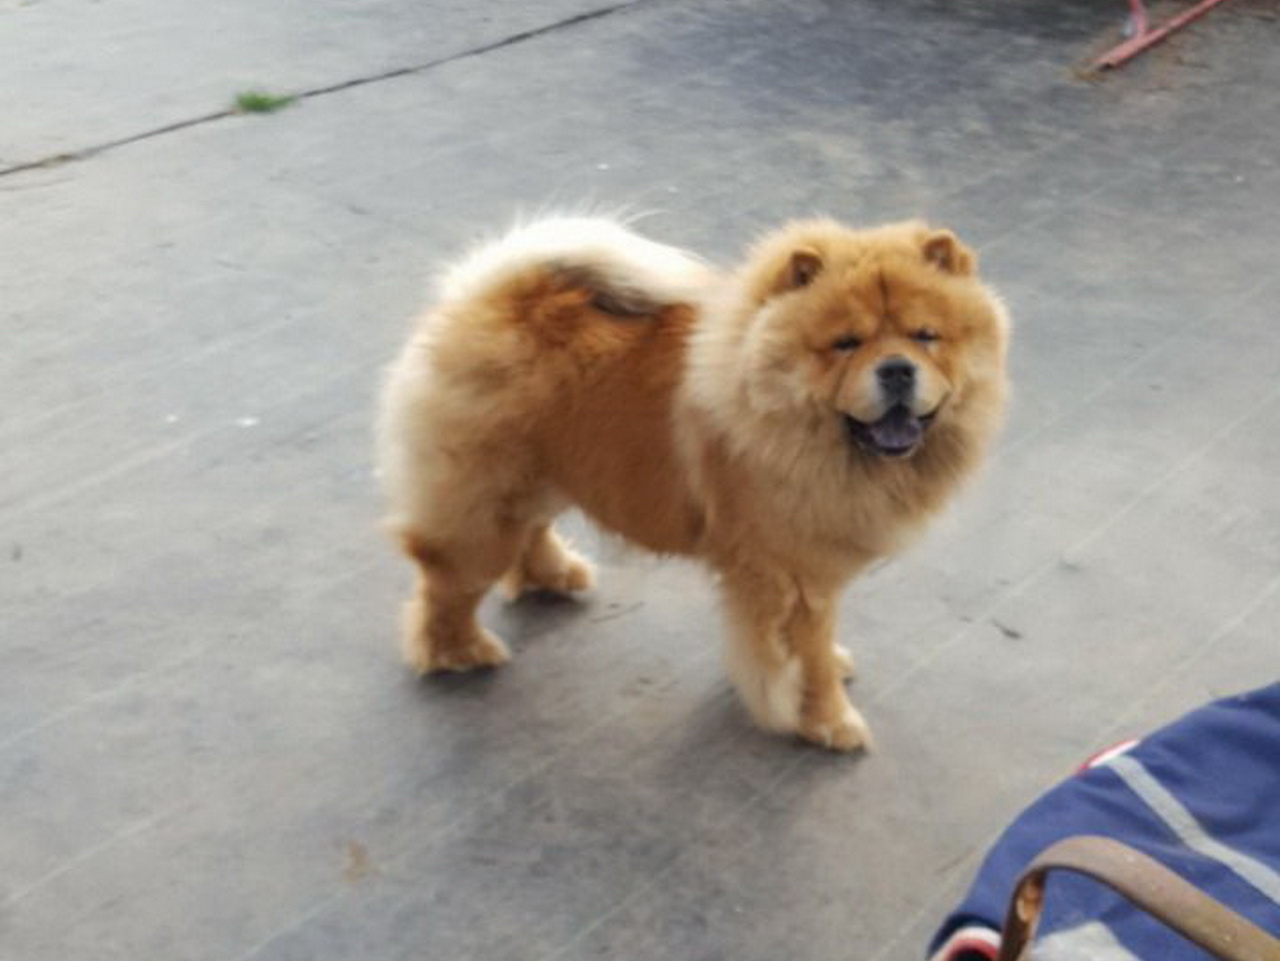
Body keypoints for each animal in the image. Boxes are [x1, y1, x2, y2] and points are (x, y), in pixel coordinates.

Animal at [377, 216, 1009, 751]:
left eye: (926, 336)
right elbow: (804, 659)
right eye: (845, 344)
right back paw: (459, 652)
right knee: (446, 582)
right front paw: (827, 723)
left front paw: (825, 673)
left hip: (541, 479)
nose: (897, 369)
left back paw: (555, 576)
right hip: (483, 508)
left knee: (527, 535)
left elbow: (813, 647)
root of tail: (484, 296)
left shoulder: (816, 569)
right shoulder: (794, 577)